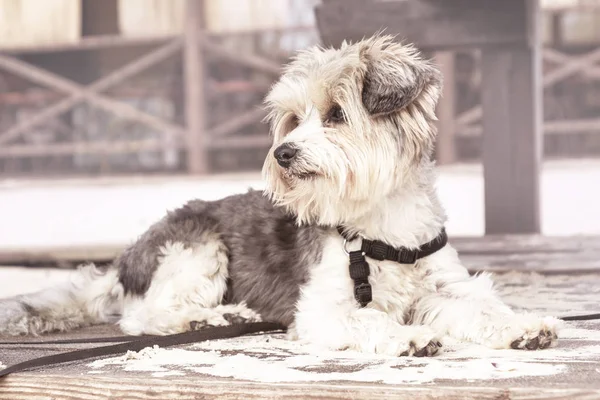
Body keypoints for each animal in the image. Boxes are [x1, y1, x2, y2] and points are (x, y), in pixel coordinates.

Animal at [2, 36, 560, 356]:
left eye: (336, 114)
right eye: (293, 120)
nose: (284, 152)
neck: (380, 228)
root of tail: (123, 262)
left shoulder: (446, 287)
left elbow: (481, 309)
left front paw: (525, 326)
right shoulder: (324, 306)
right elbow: (367, 317)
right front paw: (407, 336)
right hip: (197, 248)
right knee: (144, 315)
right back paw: (213, 317)